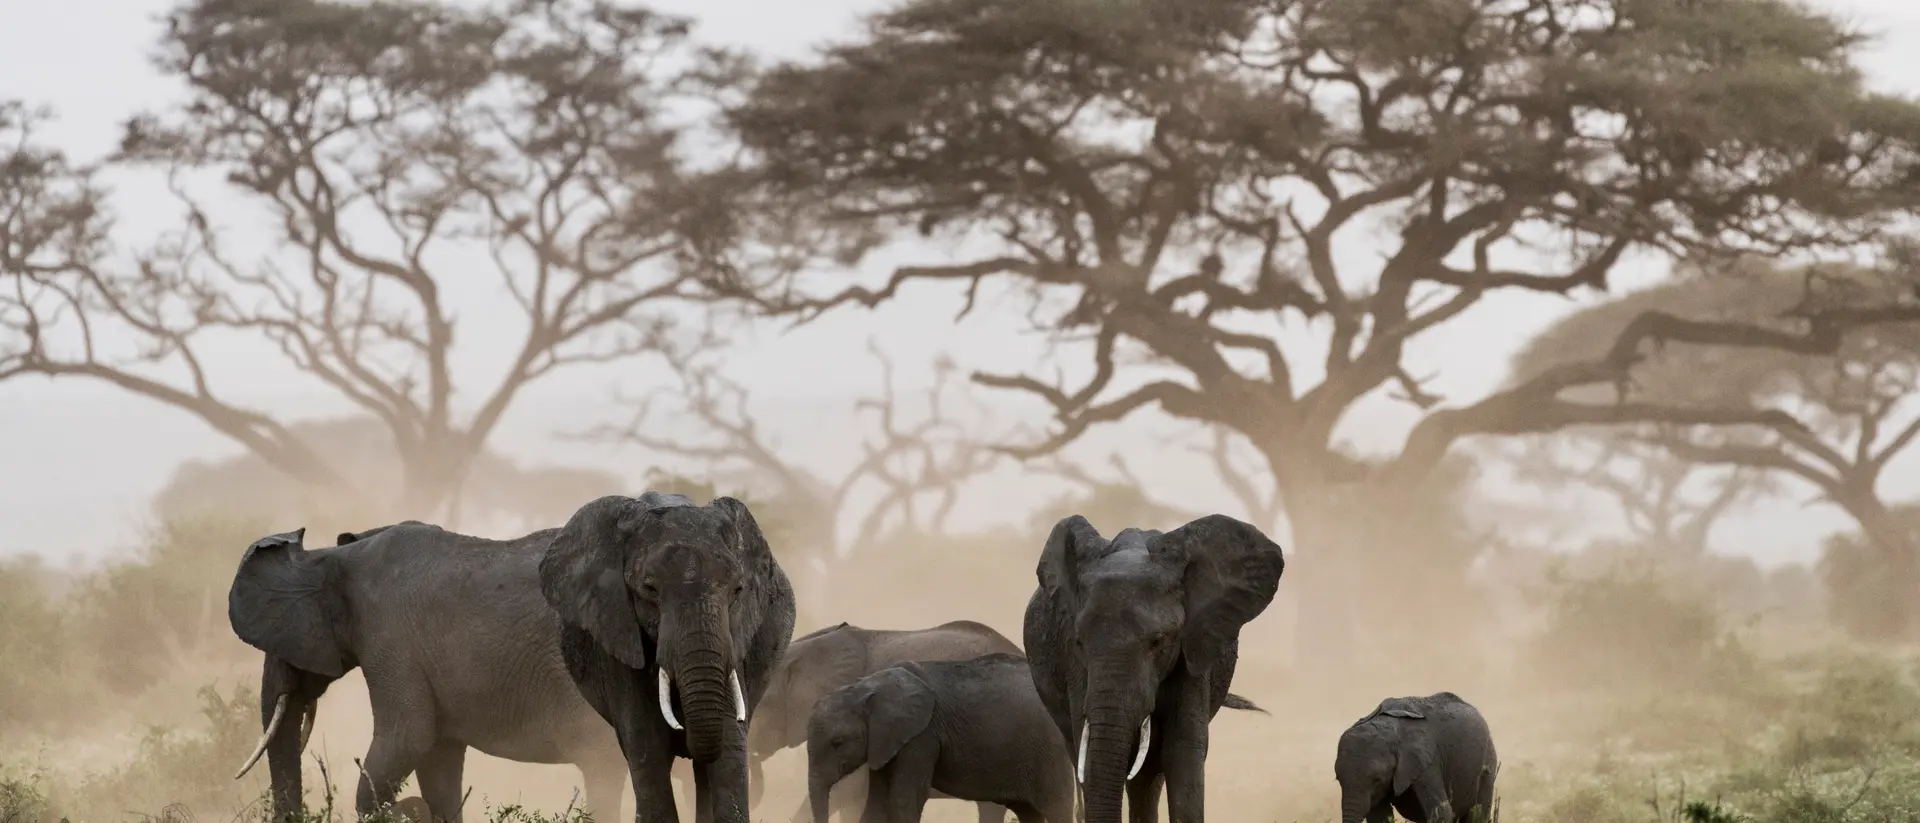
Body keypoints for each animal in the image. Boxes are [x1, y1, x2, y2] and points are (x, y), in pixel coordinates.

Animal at [226, 522, 627, 823]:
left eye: (280, 645)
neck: (336, 558)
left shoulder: (391, 637)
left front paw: (406, 810)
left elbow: (408, 737)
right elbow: (437, 760)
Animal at [539, 492, 797, 823]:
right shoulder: (618, 636)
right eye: (649, 588)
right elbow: (647, 746)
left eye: (738, 589)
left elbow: (729, 745)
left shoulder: (736, 640)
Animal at [806, 653, 1075, 823]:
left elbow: (905, 800)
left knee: (1057, 809)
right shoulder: (886, 741)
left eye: (838, 743)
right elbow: (877, 802)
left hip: (1052, 752)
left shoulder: (921, 736)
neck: (866, 687)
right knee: (1028, 813)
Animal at [1335, 693, 1498, 823]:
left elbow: (1441, 813)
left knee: (1478, 814)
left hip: (1488, 761)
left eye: (1377, 780)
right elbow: (1378, 817)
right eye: (1338, 779)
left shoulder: (1426, 761)